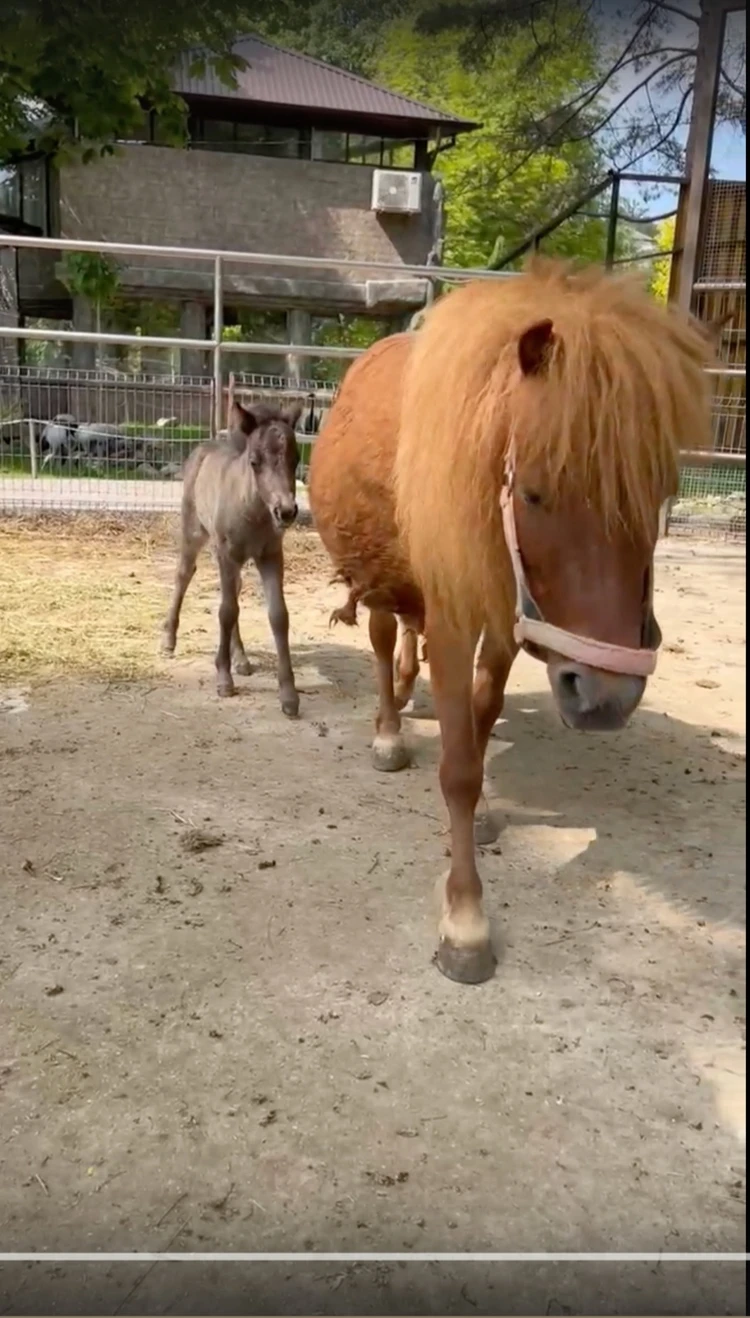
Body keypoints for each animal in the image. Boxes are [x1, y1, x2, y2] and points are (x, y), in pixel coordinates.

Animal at [308, 259, 711, 980]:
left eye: (660, 495)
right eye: (533, 493)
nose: (608, 698)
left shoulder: (503, 624)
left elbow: (479, 719)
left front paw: (486, 806)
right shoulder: (454, 620)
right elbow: (459, 769)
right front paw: (465, 920)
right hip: (377, 580)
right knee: (382, 643)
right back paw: (389, 730)